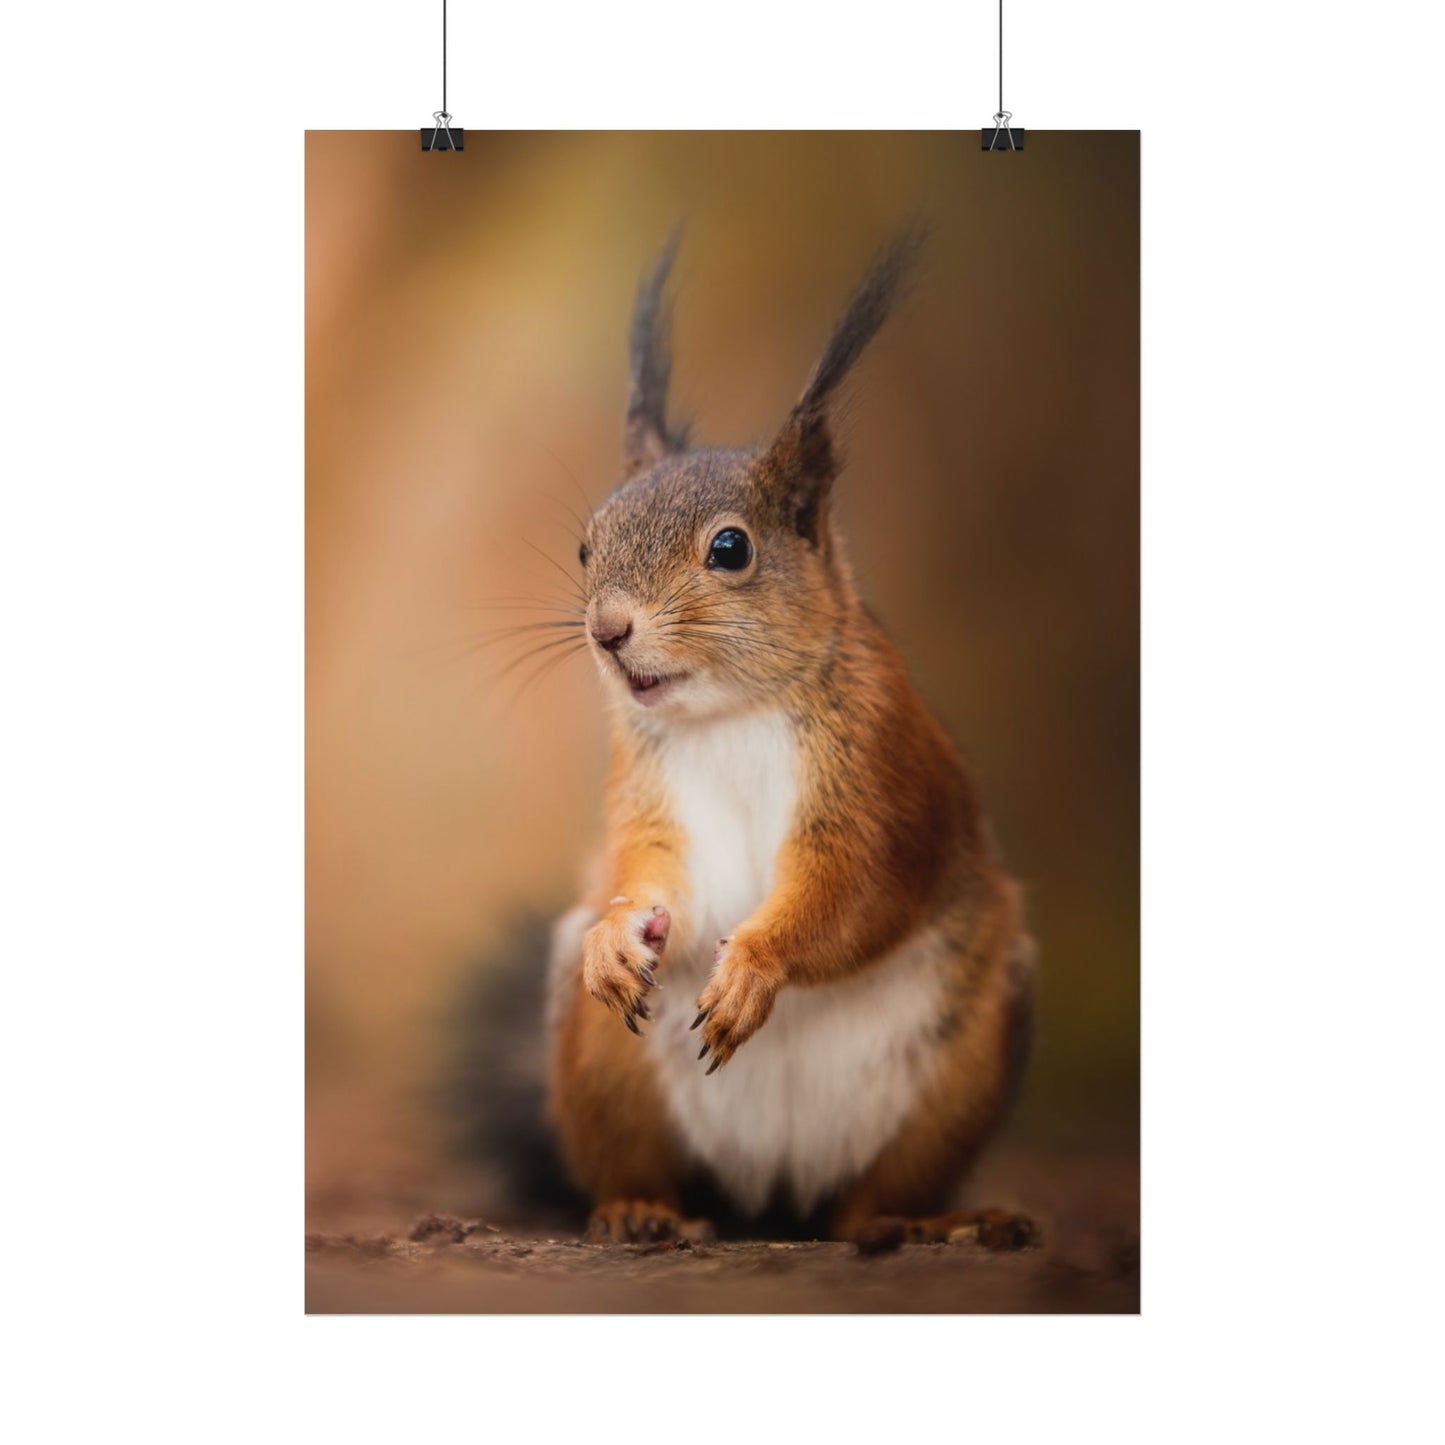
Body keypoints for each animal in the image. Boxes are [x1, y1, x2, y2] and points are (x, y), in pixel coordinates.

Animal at [545, 232, 1037, 1248]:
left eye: (730, 549)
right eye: (586, 544)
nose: (607, 631)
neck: (729, 713)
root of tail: (771, 1193)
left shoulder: (882, 775)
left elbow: (855, 889)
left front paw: (754, 965)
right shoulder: (645, 787)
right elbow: (652, 872)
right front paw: (619, 933)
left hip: (962, 1059)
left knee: (870, 1200)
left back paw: (923, 1221)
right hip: (603, 1065)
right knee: (647, 1166)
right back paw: (640, 1209)